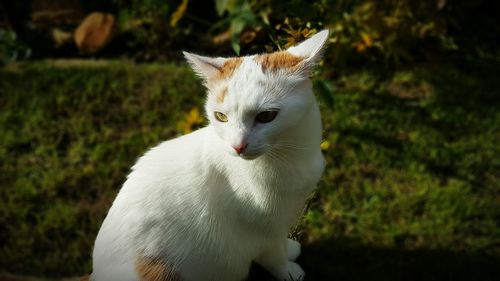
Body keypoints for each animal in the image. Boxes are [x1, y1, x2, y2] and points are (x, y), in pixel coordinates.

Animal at [91, 29, 330, 278]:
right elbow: (275, 257)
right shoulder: (261, 236)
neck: (290, 157)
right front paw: (289, 272)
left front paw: (290, 248)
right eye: (221, 117)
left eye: (266, 116)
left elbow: (282, 240)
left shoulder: (283, 220)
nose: (237, 146)